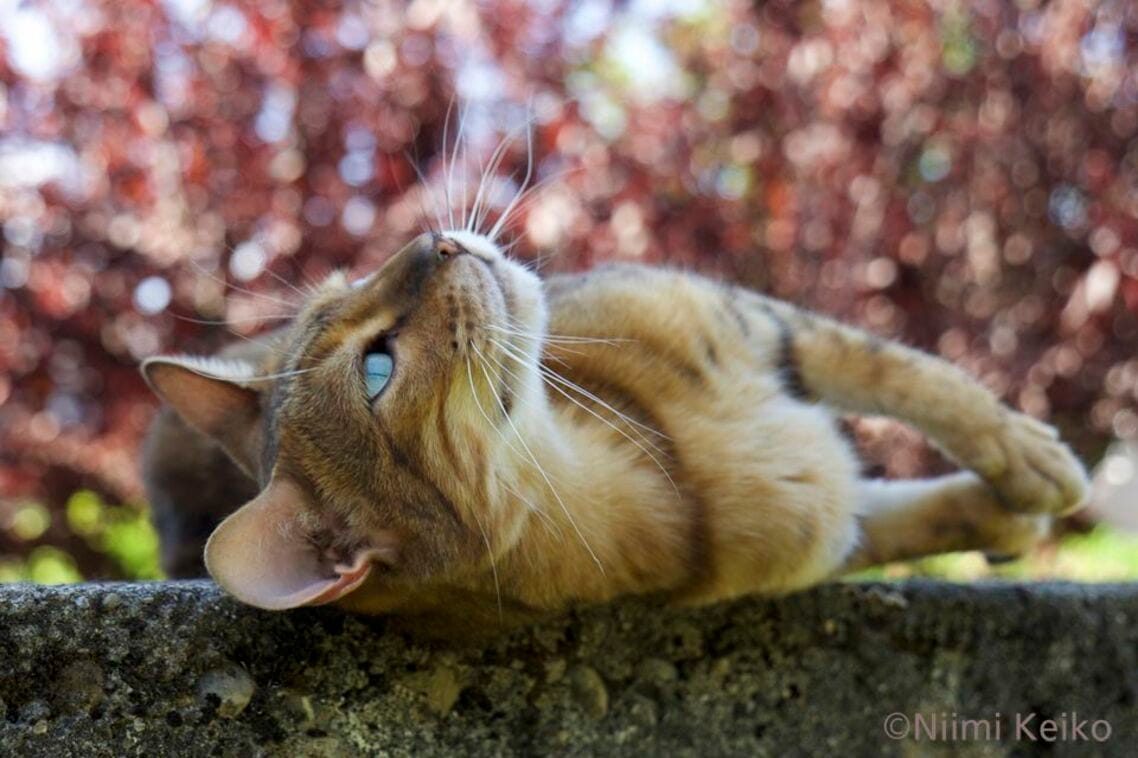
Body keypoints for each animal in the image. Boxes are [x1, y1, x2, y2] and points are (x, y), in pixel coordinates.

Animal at [139, 228, 1083, 623]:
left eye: (348, 277)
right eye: (376, 370)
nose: (433, 241)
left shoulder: (754, 322)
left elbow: (913, 376)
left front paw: (1019, 467)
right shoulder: (826, 532)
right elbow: (901, 507)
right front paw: (1030, 487)